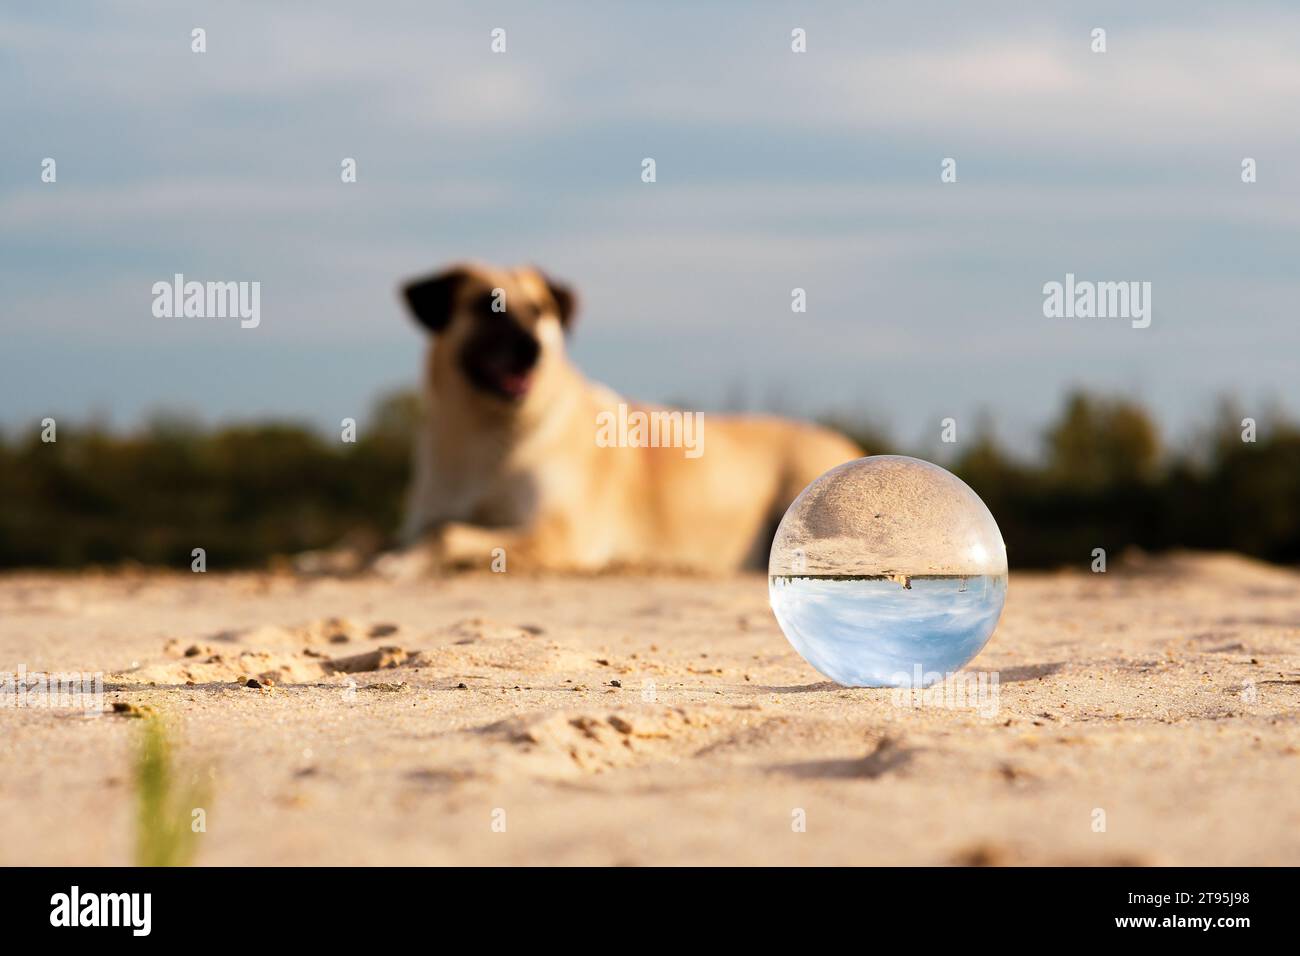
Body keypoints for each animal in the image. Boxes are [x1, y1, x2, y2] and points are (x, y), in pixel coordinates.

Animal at [379, 264, 863, 574]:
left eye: (539, 311)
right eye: (485, 305)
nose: (534, 349)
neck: (484, 435)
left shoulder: (561, 530)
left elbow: (445, 533)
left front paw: (401, 563)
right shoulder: (425, 516)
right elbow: (432, 528)